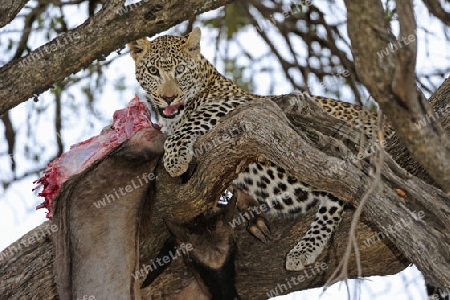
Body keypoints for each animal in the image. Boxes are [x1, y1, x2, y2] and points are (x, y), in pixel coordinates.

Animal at [128, 27, 392, 272]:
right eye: (153, 71)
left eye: (180, 70)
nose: (169, 98)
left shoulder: (248, 103)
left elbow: (199, 116)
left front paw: (175, 157)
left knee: (337, 193)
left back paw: (304, 249)